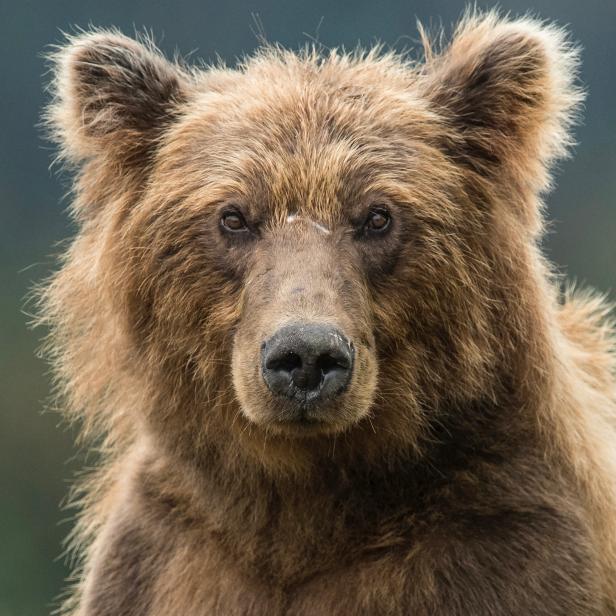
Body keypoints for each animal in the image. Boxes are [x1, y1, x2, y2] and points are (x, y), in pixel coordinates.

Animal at [41, 9, 616, 616]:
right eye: (233, 216)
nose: (307, 356)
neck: (310, 495)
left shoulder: (506, 540)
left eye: (378, 215)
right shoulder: (164, 555)